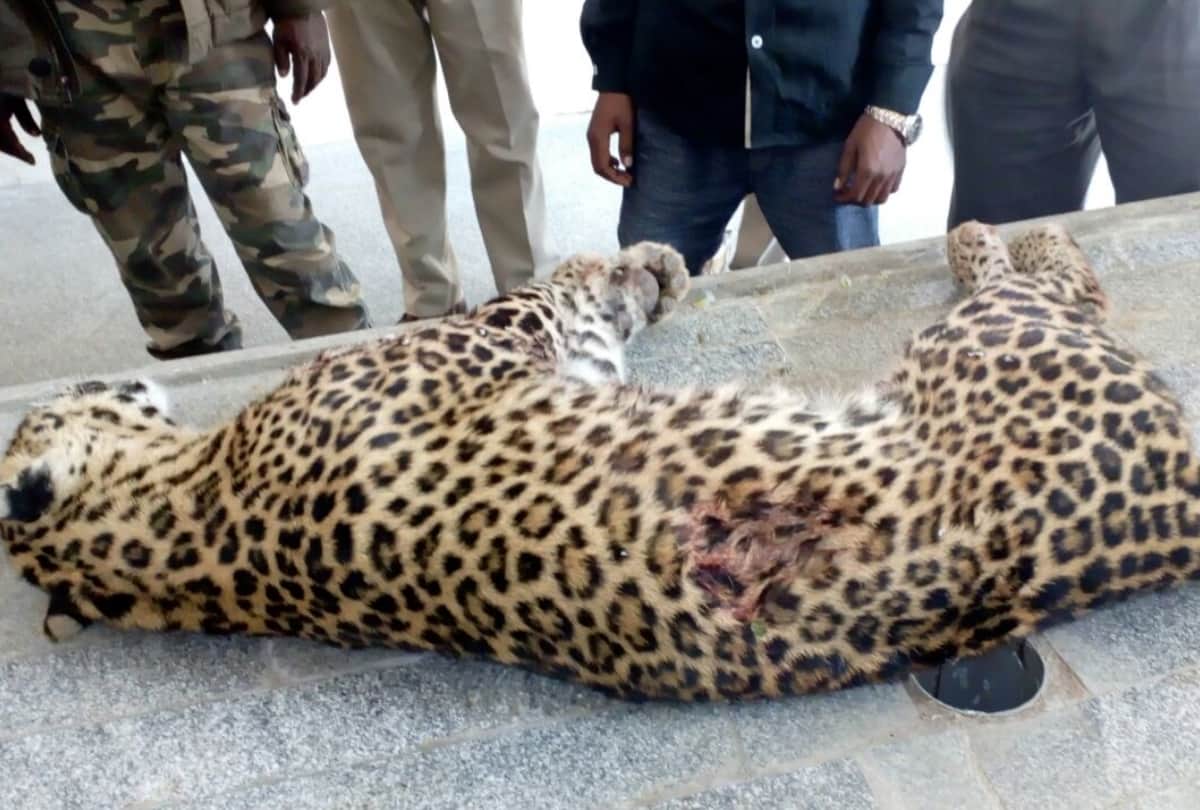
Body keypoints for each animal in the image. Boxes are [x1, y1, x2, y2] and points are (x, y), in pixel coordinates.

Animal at [2, 220, 1198, 702]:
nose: (94, 381)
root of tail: (1172, 517)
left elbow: (587, 311)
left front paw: (653, 273)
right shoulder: (500, 344)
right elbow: (554, 292)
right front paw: (640, 267)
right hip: (995, 339)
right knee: (1055, 281)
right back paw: (987, 233)